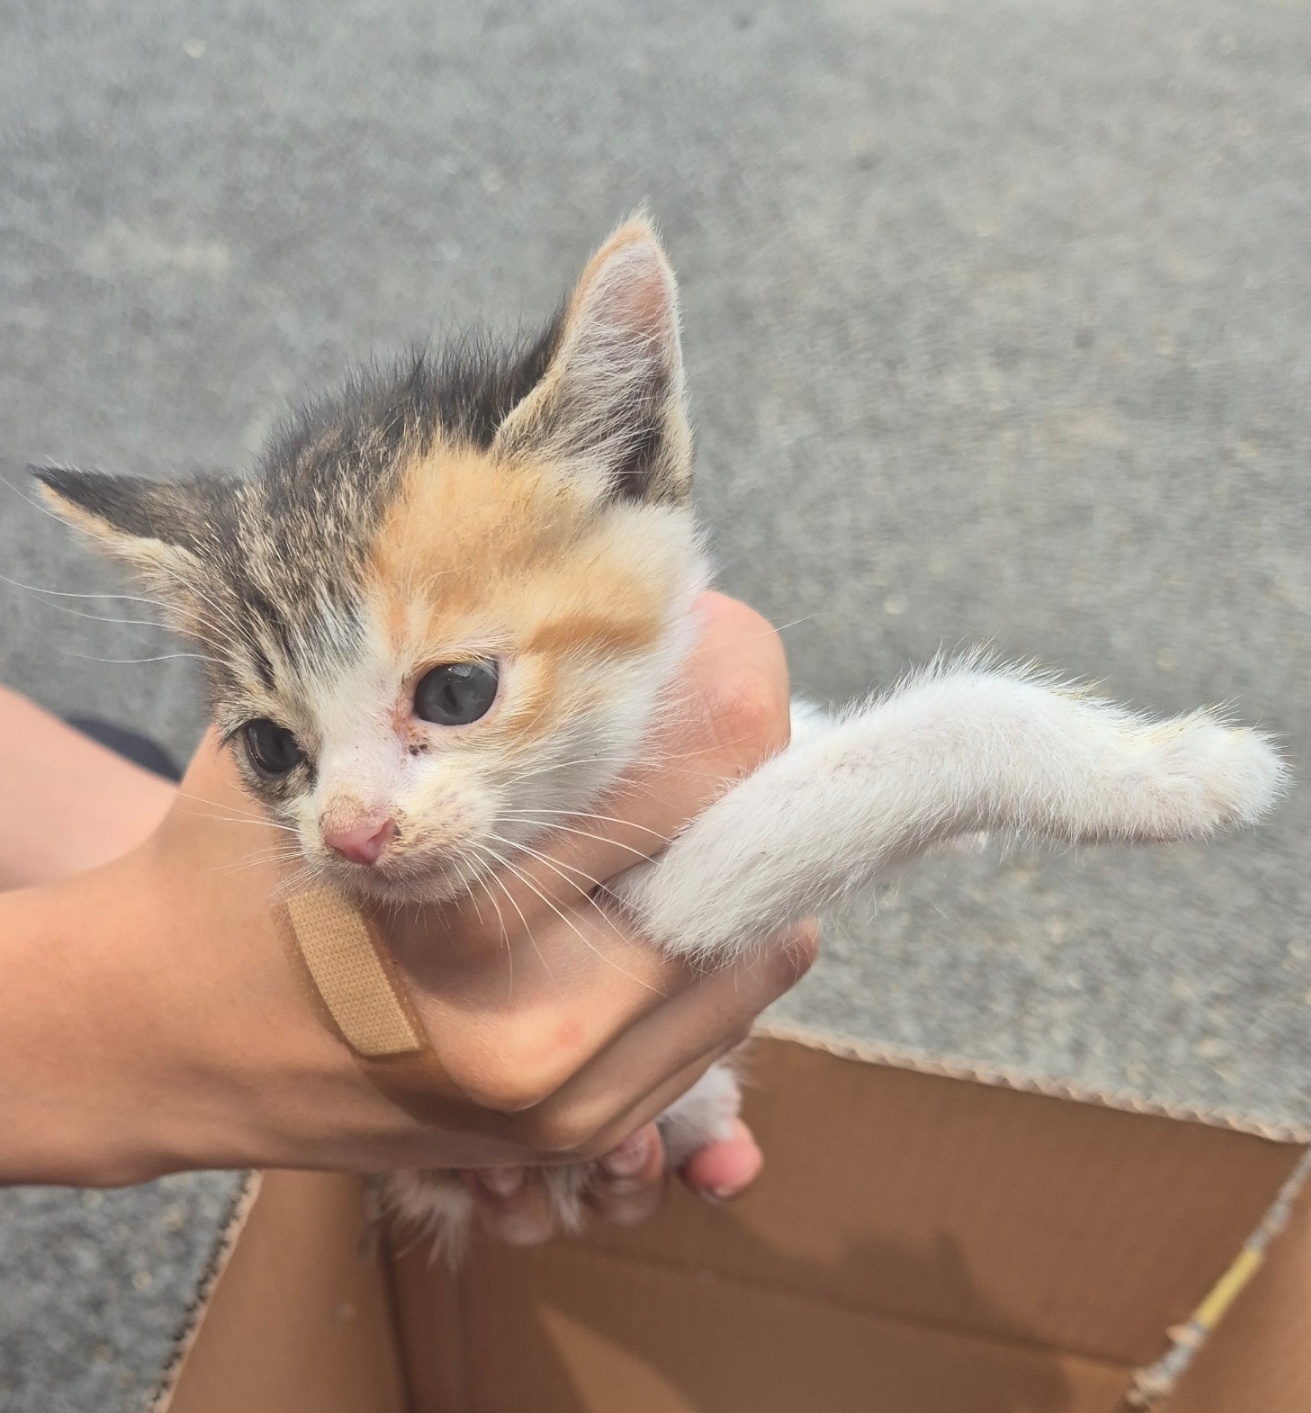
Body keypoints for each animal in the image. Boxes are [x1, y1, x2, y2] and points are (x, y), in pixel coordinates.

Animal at [35, 214, 1282, 1243]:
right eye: (270, 750)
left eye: (455, 693)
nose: (349, 839)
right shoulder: (664, 898)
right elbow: (954, 725)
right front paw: (1172, 773)